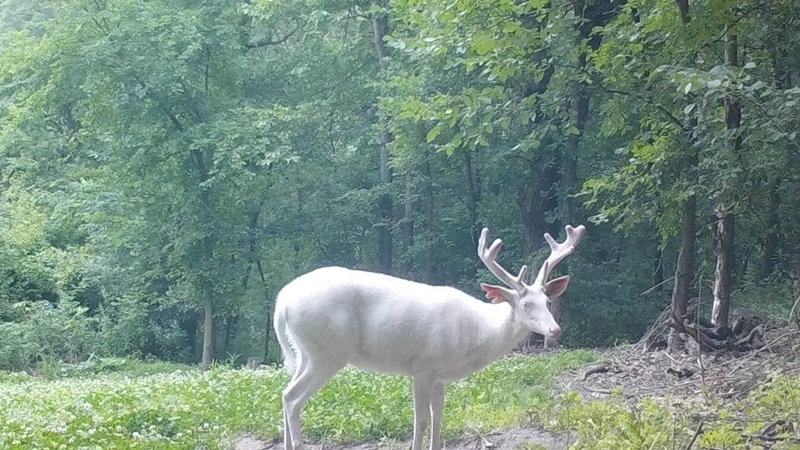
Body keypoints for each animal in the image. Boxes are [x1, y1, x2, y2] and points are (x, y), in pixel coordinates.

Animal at [272, 225, 584, 450]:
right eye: (525, 304)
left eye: (547, 301)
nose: (555, 330)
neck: (474, 333)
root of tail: (282, 301)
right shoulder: (423, 365)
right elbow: (420, 419)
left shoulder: (439, 374)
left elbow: (438, 417)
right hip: (328, 352)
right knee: (293, 398)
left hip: (306, 351)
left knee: (284, 392)